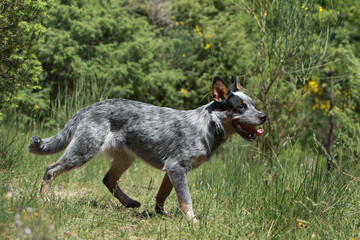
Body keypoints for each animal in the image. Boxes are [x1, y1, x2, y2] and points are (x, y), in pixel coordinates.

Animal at [28, 76, 266, 222]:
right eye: (240, 107)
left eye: (253, 104)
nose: (264, 116)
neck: (206, 125)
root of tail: (88, 107)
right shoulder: (177, 168)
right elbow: (186, 198)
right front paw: (193, 221)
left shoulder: (172, 171)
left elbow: (162, 196)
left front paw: (162, 214)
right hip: (83, 151)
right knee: (51, 169)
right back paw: (45, 199)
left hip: (125, 158)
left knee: (108, 179)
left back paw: (129, 202)